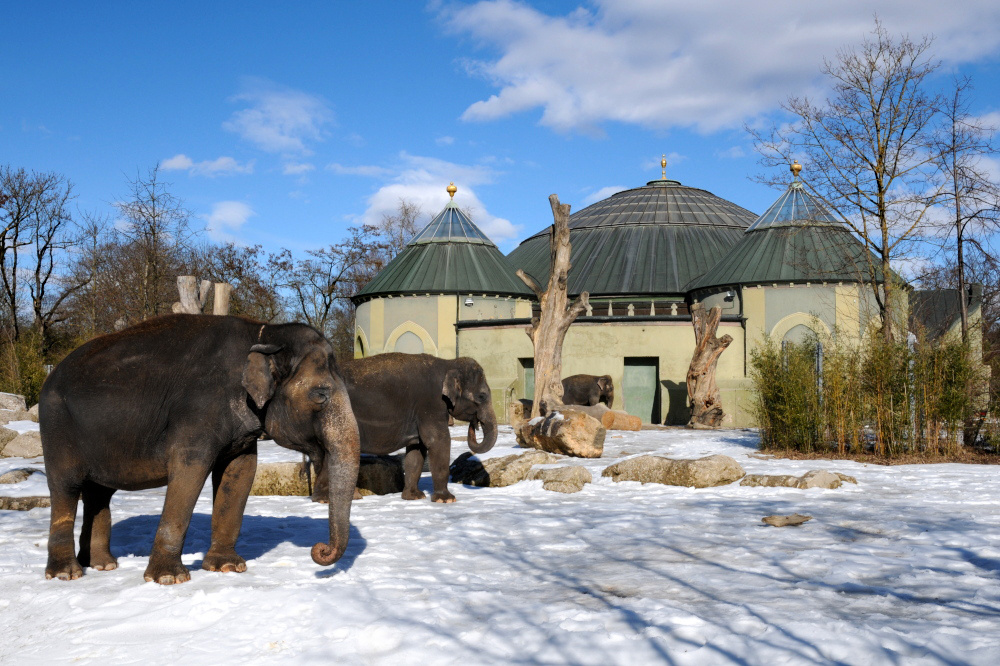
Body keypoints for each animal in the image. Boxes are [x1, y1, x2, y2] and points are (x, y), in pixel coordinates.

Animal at [40, 314, 360, 584]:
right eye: (320, 395)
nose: (320, 550)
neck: (265, 331)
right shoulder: (197, 411)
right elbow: (189, 470)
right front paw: (169, 579)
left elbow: (240, 471)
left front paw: (227, 567)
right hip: (56, 426)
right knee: (66, 487)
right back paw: (66, 574)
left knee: (98, 493)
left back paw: (102, 565)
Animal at [314, 350, 498, 500]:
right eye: (482, 396)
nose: (474, 424)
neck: (448, 363)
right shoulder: (431, 405)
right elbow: (438, 441)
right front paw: (446, 500)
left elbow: (417, 450)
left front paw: (414, 497)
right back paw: (340, 498)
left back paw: (327, 498)